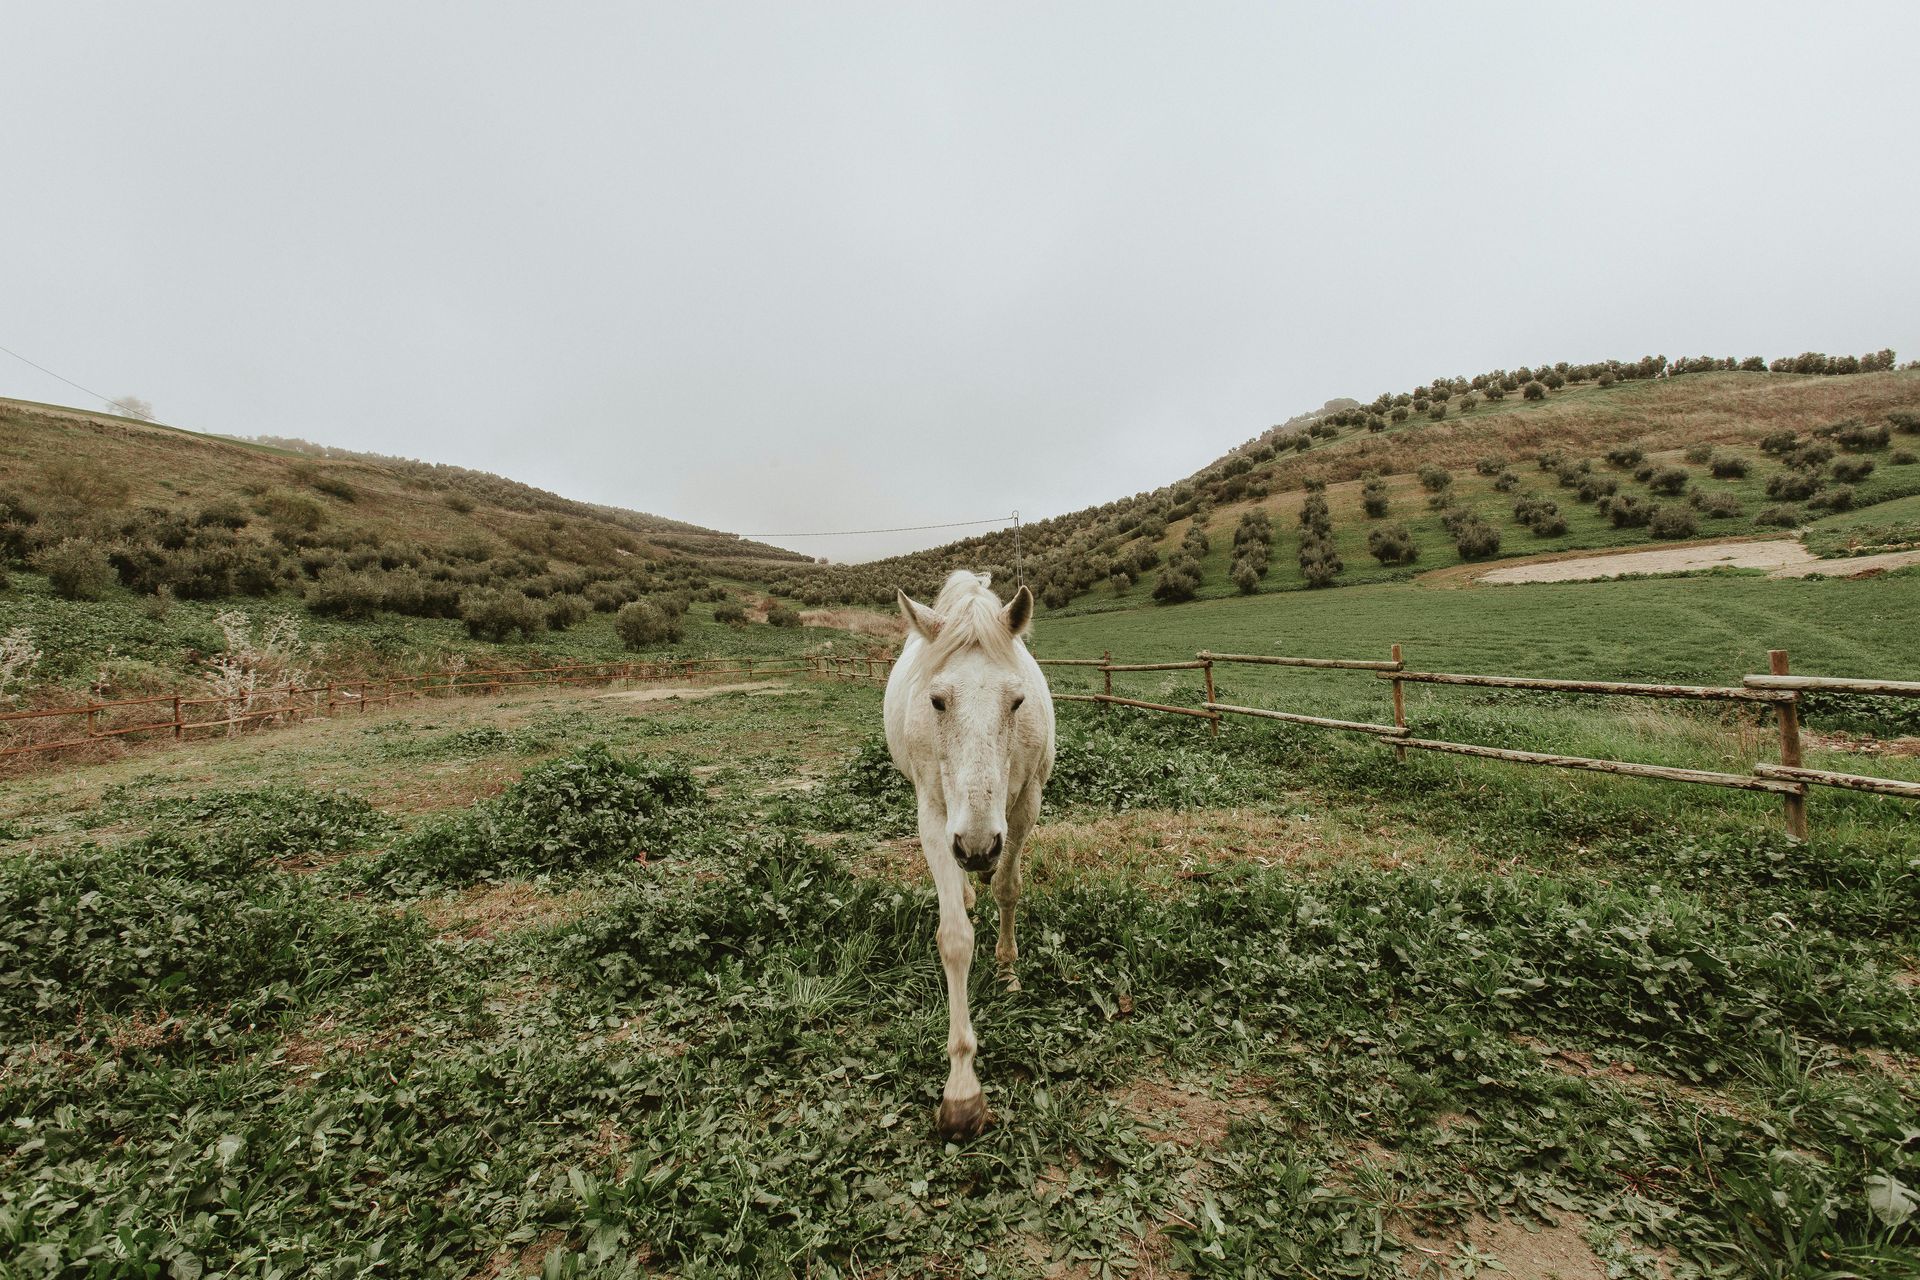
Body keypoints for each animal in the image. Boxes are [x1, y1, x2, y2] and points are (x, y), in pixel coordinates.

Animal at [884, 570, 1055, 1140]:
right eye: (937, 701)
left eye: (1017, 702)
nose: (977, 847)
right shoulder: (934, 816)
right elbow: (955, 937)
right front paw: (962, 1092)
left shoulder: (1025, 805)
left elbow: (1008, 888)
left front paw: (1007, 971)